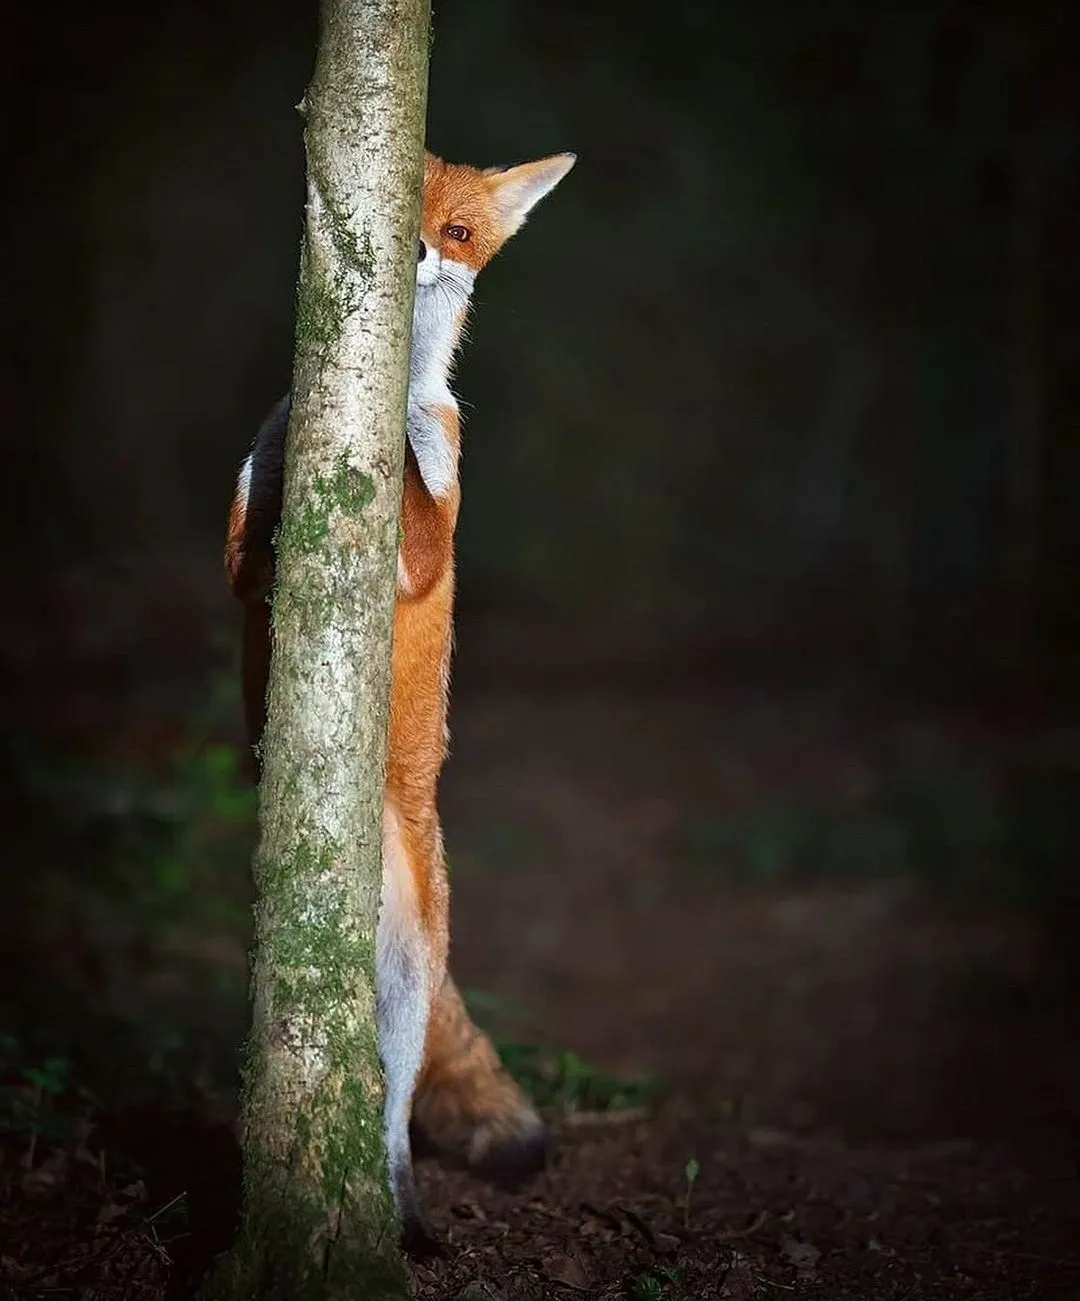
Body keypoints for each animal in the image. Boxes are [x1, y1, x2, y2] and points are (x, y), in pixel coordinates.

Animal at [224, 148, 576, 1245]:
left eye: (458, 231)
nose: (418, 250)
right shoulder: (242, 553)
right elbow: (249, 528)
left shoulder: (432, 525)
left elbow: (420, 492)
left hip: (410, 980)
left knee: (395, 1101)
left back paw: (403, 1214)